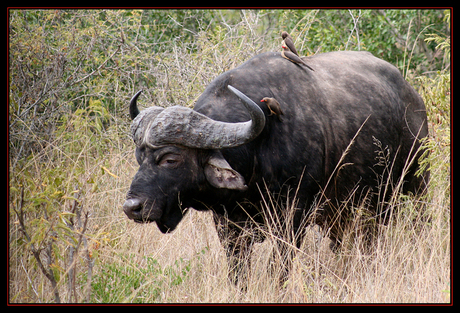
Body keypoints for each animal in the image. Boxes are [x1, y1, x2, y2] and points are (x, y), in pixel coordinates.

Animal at [121, 50, 428, 280]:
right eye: (139, 157)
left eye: (170, 159)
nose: (132, 207)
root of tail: (412, 99)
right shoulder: (228, 228)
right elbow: (238, 275)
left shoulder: (291, 221)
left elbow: (277, 271)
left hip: (415, 190)